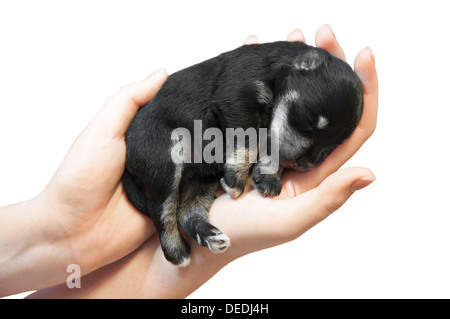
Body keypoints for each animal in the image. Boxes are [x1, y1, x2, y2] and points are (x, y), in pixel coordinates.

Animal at [122, 42, 362, 268]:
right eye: (309, 121)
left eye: (334, 145)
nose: (305, 164)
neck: (276, 71)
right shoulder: (237, 98)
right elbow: (250, 140)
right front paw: (236, 178)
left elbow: (272, 144)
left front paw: (268, 177)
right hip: (165, 162)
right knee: (162, 209)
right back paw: (177, 253)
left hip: (200, 180)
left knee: (187, 212)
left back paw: (210, 236)